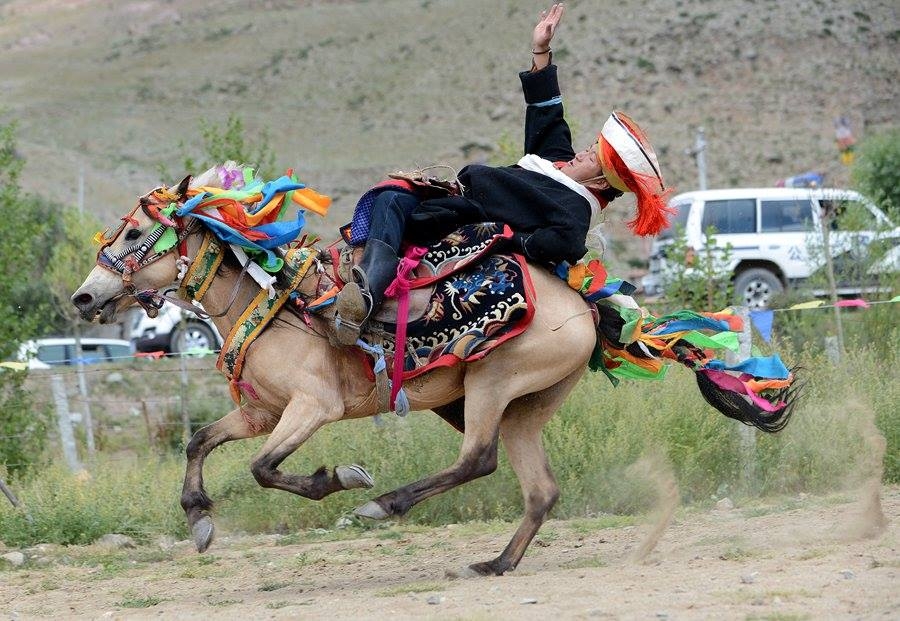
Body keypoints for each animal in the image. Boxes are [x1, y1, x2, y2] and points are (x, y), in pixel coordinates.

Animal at [74, 166, 800, 576]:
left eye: (136, 233)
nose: (83, 297)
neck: (276, 306)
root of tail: (589, 304)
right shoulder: (259, 412)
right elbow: (199, 442)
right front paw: (198, 519)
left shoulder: (311, 408)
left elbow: (263, 468)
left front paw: (341, 478)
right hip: (526, 405)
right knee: (539, 488)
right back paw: (497, 563)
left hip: (491, 384)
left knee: (479, 459)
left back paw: (382, 504)